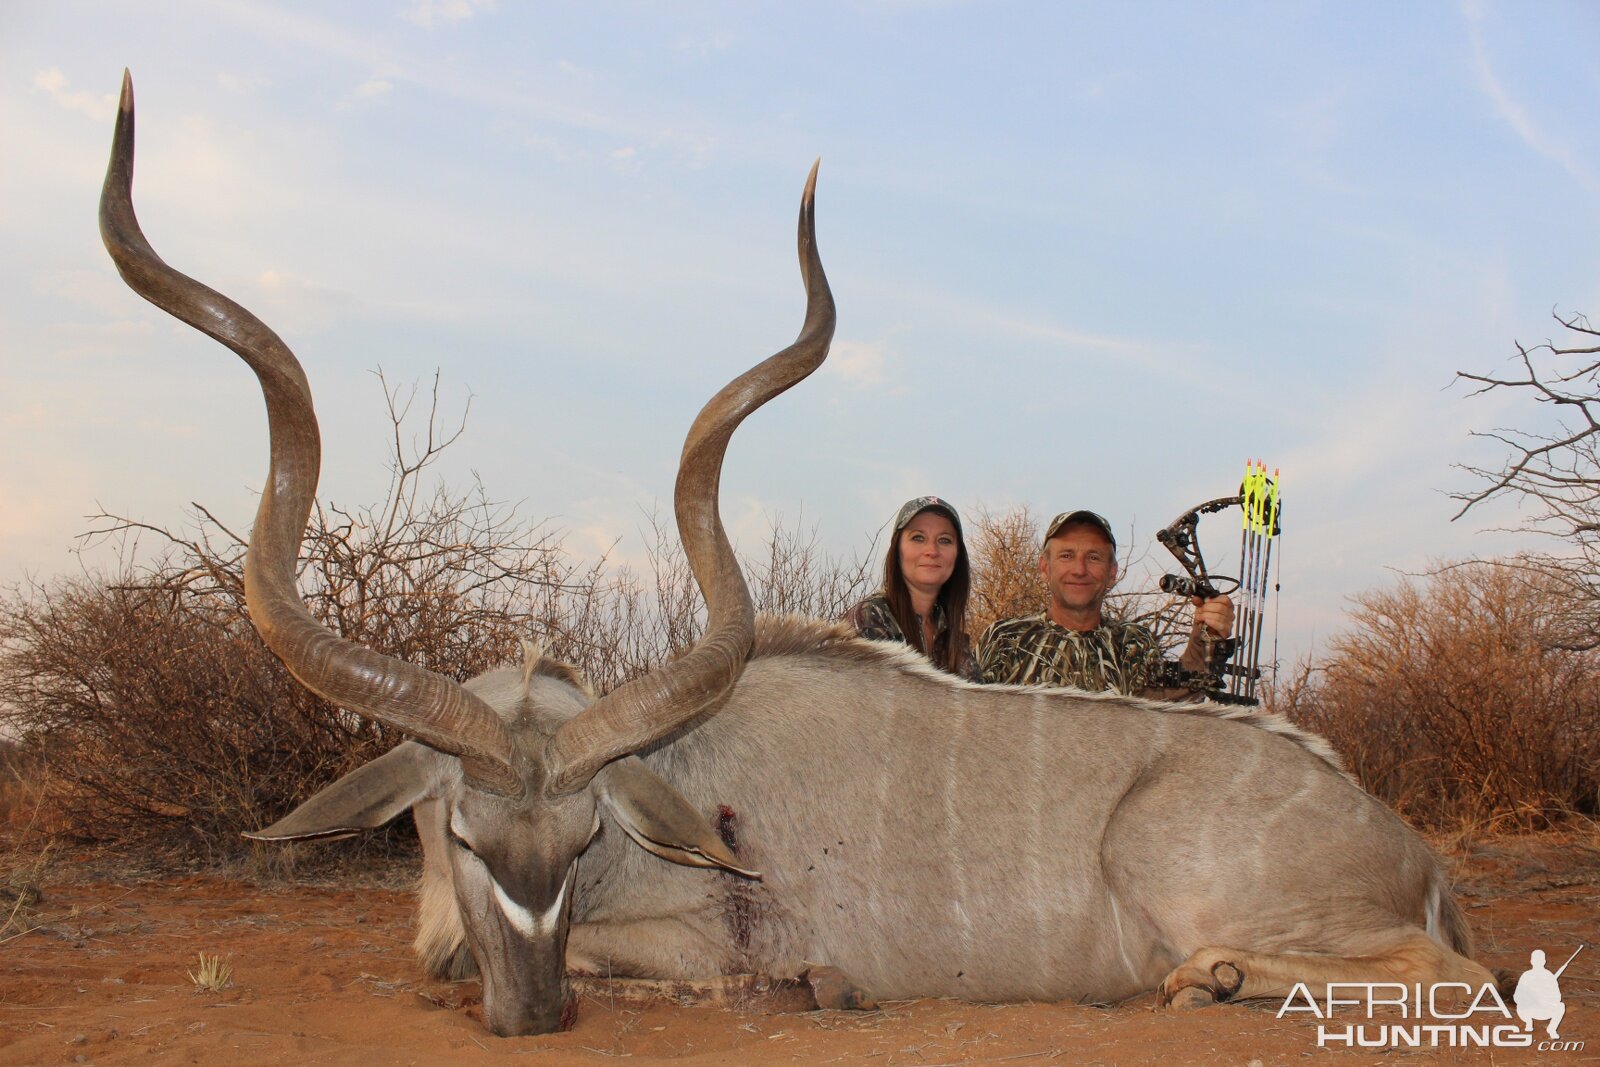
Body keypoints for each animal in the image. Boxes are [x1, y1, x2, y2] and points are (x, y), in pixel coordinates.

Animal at [103, 70, 1497, 1036]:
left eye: (585, 836)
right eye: (459, 831)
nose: (536, 1014)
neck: (683, 773)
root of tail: (1409, 848)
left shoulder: (695, 940)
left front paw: (814, 981)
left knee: (1454, 972)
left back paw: (1206, 975)